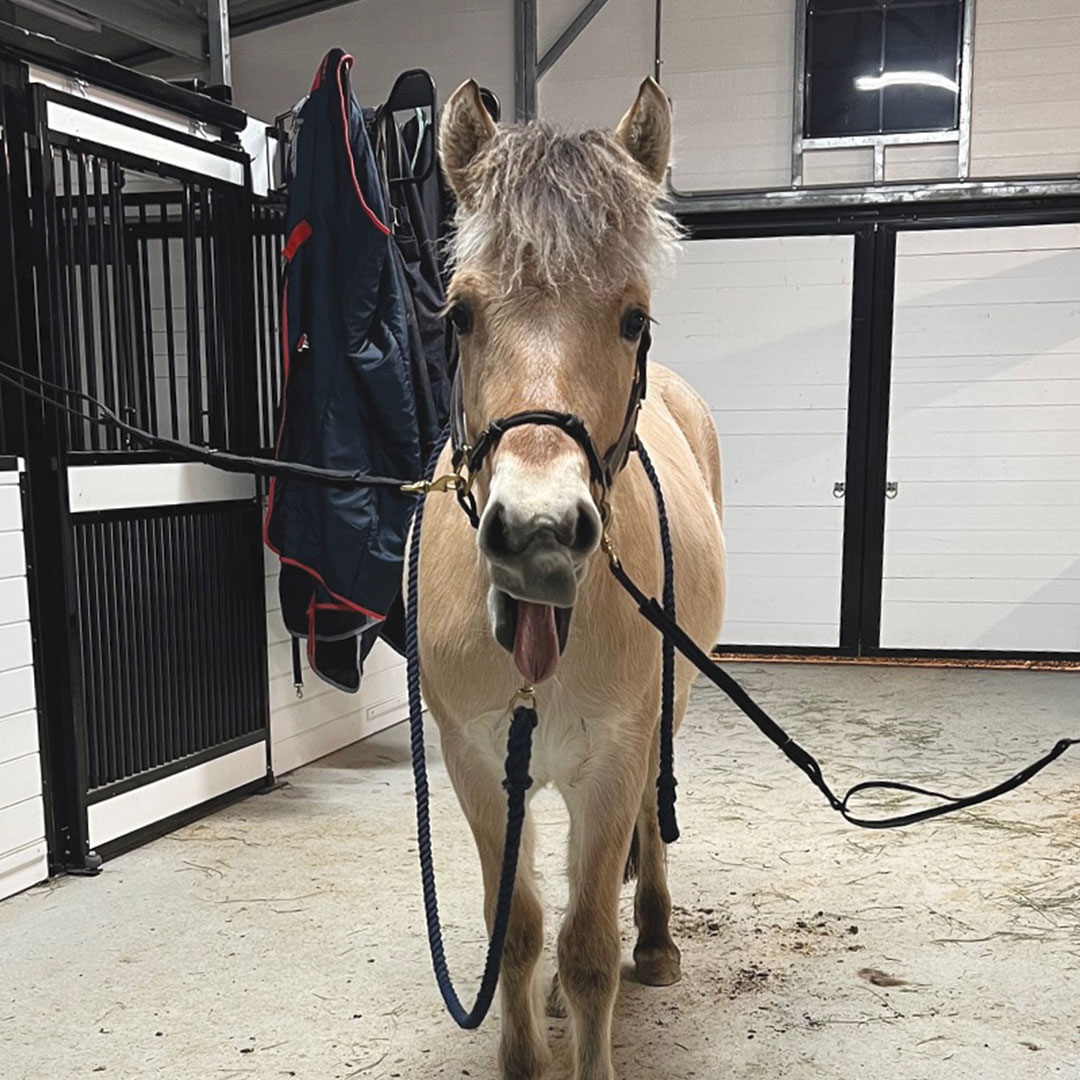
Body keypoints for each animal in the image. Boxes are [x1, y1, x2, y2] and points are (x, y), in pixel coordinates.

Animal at [414, 77, 726, 1080]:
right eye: (459, 314)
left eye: (633, 318)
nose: (540, 534)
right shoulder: (478, 766)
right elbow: (512, 931)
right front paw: (524, 1053)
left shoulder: (614, 760)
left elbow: (589, 947)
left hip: (661, 718)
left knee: (649, 837)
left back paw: (656, 943)